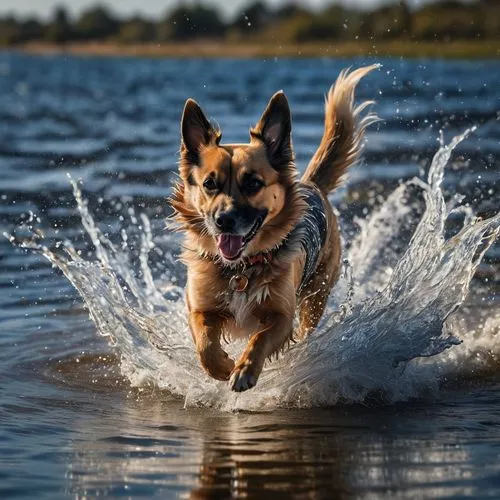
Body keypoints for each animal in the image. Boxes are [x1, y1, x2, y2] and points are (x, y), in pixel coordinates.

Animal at [170, 63, 376, 390]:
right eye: (209, 184)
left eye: (253, 183)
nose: (223, 220)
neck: (241, 268)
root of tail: (311, 184)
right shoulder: (199, 306)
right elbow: (204, 344)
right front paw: (222, 365)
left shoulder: (282, 315)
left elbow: (260, 339)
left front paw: (244, 369)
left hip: (315, 297)